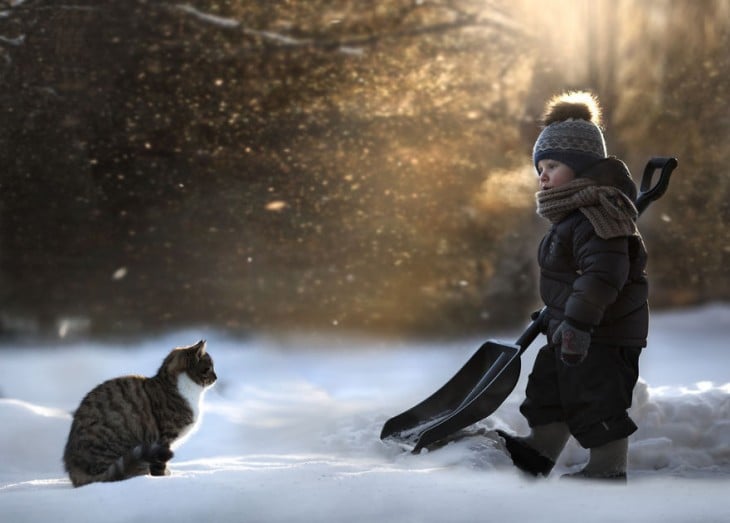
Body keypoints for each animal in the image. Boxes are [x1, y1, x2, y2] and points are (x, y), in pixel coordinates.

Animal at [62, 340, 215, 488]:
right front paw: (162, 479)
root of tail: (75, 473)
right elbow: (159, 465)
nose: (216, 377)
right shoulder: (164, 440)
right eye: (208, 368)